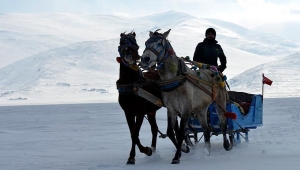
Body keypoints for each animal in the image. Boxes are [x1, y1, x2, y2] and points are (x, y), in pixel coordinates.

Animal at [116, 31, 163, 164]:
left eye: (134, 43)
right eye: (122, 42)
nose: (128, 53)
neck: (130, 84)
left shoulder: (140, 112)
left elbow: (134, 133)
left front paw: (145, 151)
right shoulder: (128, 112)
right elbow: (133, 134)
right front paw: (135, 156)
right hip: (152, 111)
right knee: (154, 129)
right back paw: (154, 149)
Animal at [140, 28, 234, 163]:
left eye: (160, 43)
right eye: (146, 42)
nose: (145, 59)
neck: (174, 80)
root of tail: (216, 71)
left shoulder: (186, 109)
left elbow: (180, 132)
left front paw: (177, 156)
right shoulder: (171, 109)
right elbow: (170, 132)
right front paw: (185, 149)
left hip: (220, 104)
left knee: (223, 125)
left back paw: (226, 145)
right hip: (201, 109)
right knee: (206, 130)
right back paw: (206, 152)